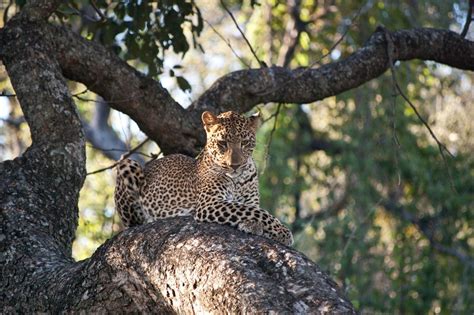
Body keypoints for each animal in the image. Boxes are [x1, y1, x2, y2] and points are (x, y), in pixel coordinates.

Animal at [114, 111, 292, 247]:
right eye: (222, 143)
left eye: (245, 142)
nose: (234, 165)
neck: (238, 180)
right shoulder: (209, 203)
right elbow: (256, 212)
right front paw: (283, 232)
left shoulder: (250, 200)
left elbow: (252, 209)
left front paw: (253, 225)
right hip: (127, 164)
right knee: (133, 223)